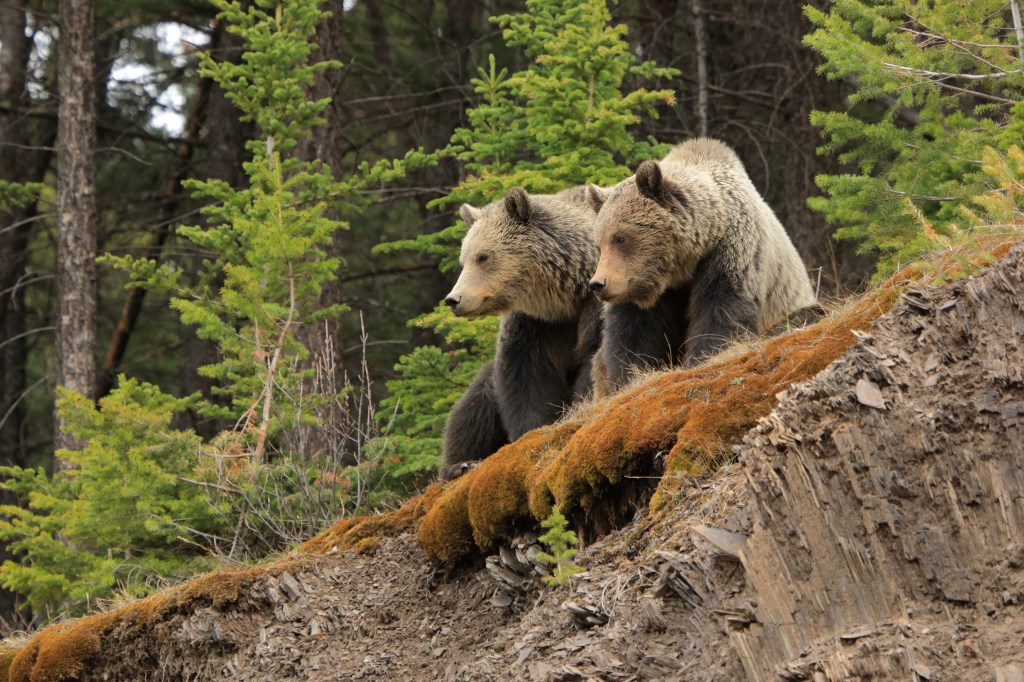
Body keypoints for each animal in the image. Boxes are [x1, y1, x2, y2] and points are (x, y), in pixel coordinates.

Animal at [439, 185, 602, 480]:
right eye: (463, 259)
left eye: (483, 256)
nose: (453, 300)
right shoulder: (537, 323)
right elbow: (526, 374)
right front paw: (532, 429)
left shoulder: (592, 305)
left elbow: (594, 356)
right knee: (474, 404)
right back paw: (460, 464)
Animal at [586, 138, 816, 395]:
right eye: (599, 244)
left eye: (620, 238)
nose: (598, 284)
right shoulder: (640, 287)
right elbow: (631, 333)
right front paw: (630, 376)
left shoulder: (730, 251)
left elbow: (721, 311)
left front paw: (702, 357)